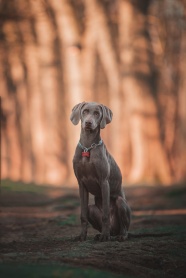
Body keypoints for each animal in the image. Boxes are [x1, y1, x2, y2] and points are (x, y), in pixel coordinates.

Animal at [70, 102, 131, 241]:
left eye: (97, 113)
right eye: (85, 111)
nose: (88, 123)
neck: (87, 147)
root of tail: (114, 231)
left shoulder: (104, 182)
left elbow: (106, 215)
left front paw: (105, 236)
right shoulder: (81, 184)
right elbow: (83, 215)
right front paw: (82, 236)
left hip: (121, 203)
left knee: (124, 227)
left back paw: (117, 235)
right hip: (92, 209)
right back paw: (101, 234)